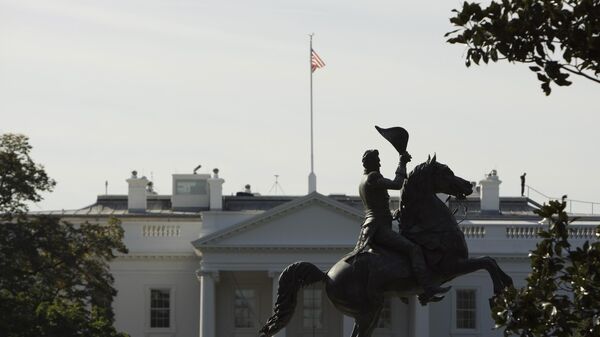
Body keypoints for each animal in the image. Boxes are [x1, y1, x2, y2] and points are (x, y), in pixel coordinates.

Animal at [260, 157, 512, 336]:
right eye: (446, 172)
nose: (468, 185)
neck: (432, 228)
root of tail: (326, 275)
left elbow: (490, 261)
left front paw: (506, 288)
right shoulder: (450, 267)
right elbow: (487, 261)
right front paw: (501, 290)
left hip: (371, 309)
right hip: (368, 310)